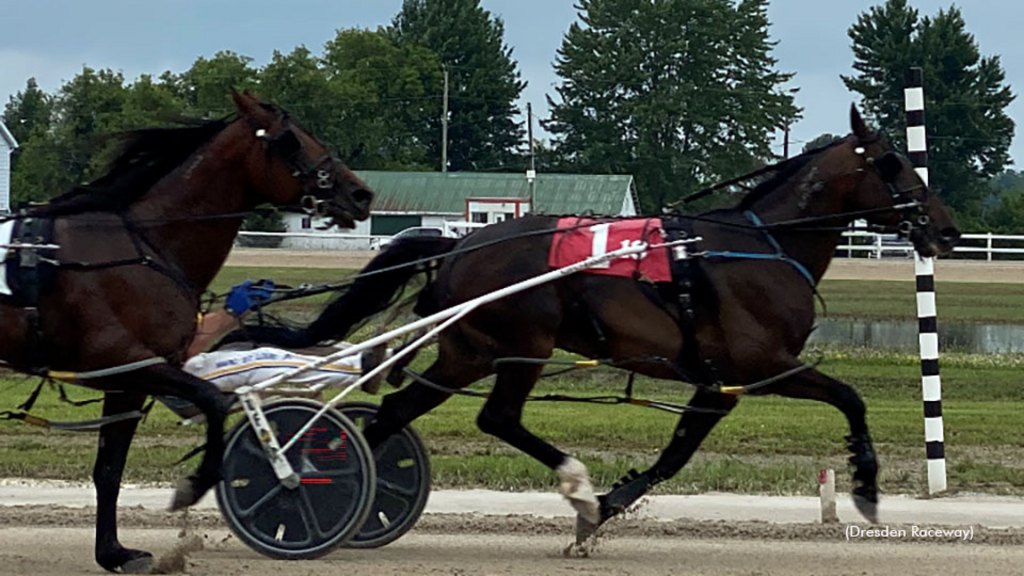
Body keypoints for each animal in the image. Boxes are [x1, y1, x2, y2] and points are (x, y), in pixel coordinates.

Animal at [0, 90, 374, 569]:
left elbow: (109, 469)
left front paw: (114, 552)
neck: (145, 247)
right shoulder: (130, 362)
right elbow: (214, 401)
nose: (360, 193)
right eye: (290, 140)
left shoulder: (128, 381)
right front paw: (194, 485)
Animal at [299, 105, 958, 541]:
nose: (946, 229)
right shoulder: (761, 366)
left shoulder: (718, 385)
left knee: (393, 413)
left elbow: (675, 455)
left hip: (470, 352)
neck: (760, 249)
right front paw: (866, 488)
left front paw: (610, 506)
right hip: (522, 346)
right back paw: (574, 483)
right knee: (498, 417)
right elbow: (849, 399)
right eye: (892, 163)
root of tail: (461, 245)